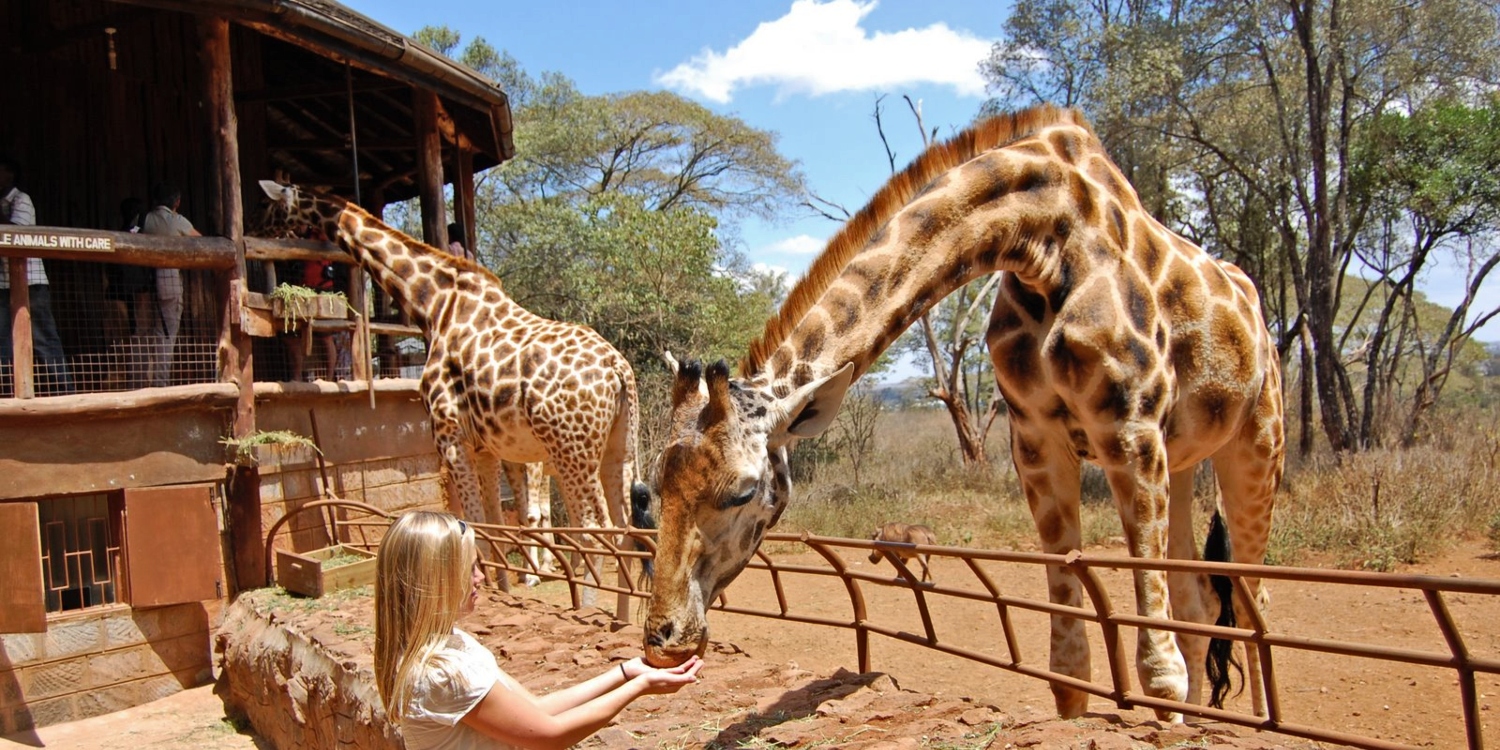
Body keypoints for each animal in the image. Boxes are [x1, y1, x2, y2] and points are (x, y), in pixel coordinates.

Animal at [253, 181, 646, 615]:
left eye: (269, 208)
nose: (258, 235)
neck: (432, 304)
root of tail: (618, 369)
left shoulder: (448, 435)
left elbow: (472, 523)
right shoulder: (485, 447)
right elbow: (492, 523)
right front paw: (502, 588)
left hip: (570, 449)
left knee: (594, 529)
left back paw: (589, 608)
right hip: (617, 446)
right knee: (625, 528)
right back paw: (620, 615)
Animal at [641, 106, 1284, 722]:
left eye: (745, 492)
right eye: (653, 488)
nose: (663, 640)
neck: (1044, 239)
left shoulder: (1129, 428)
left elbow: (1160, 667)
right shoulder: (1037, 442)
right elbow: (1069, 663)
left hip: (1255, 446)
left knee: (1256, 602)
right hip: (1184, 458)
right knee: (1199, 595)